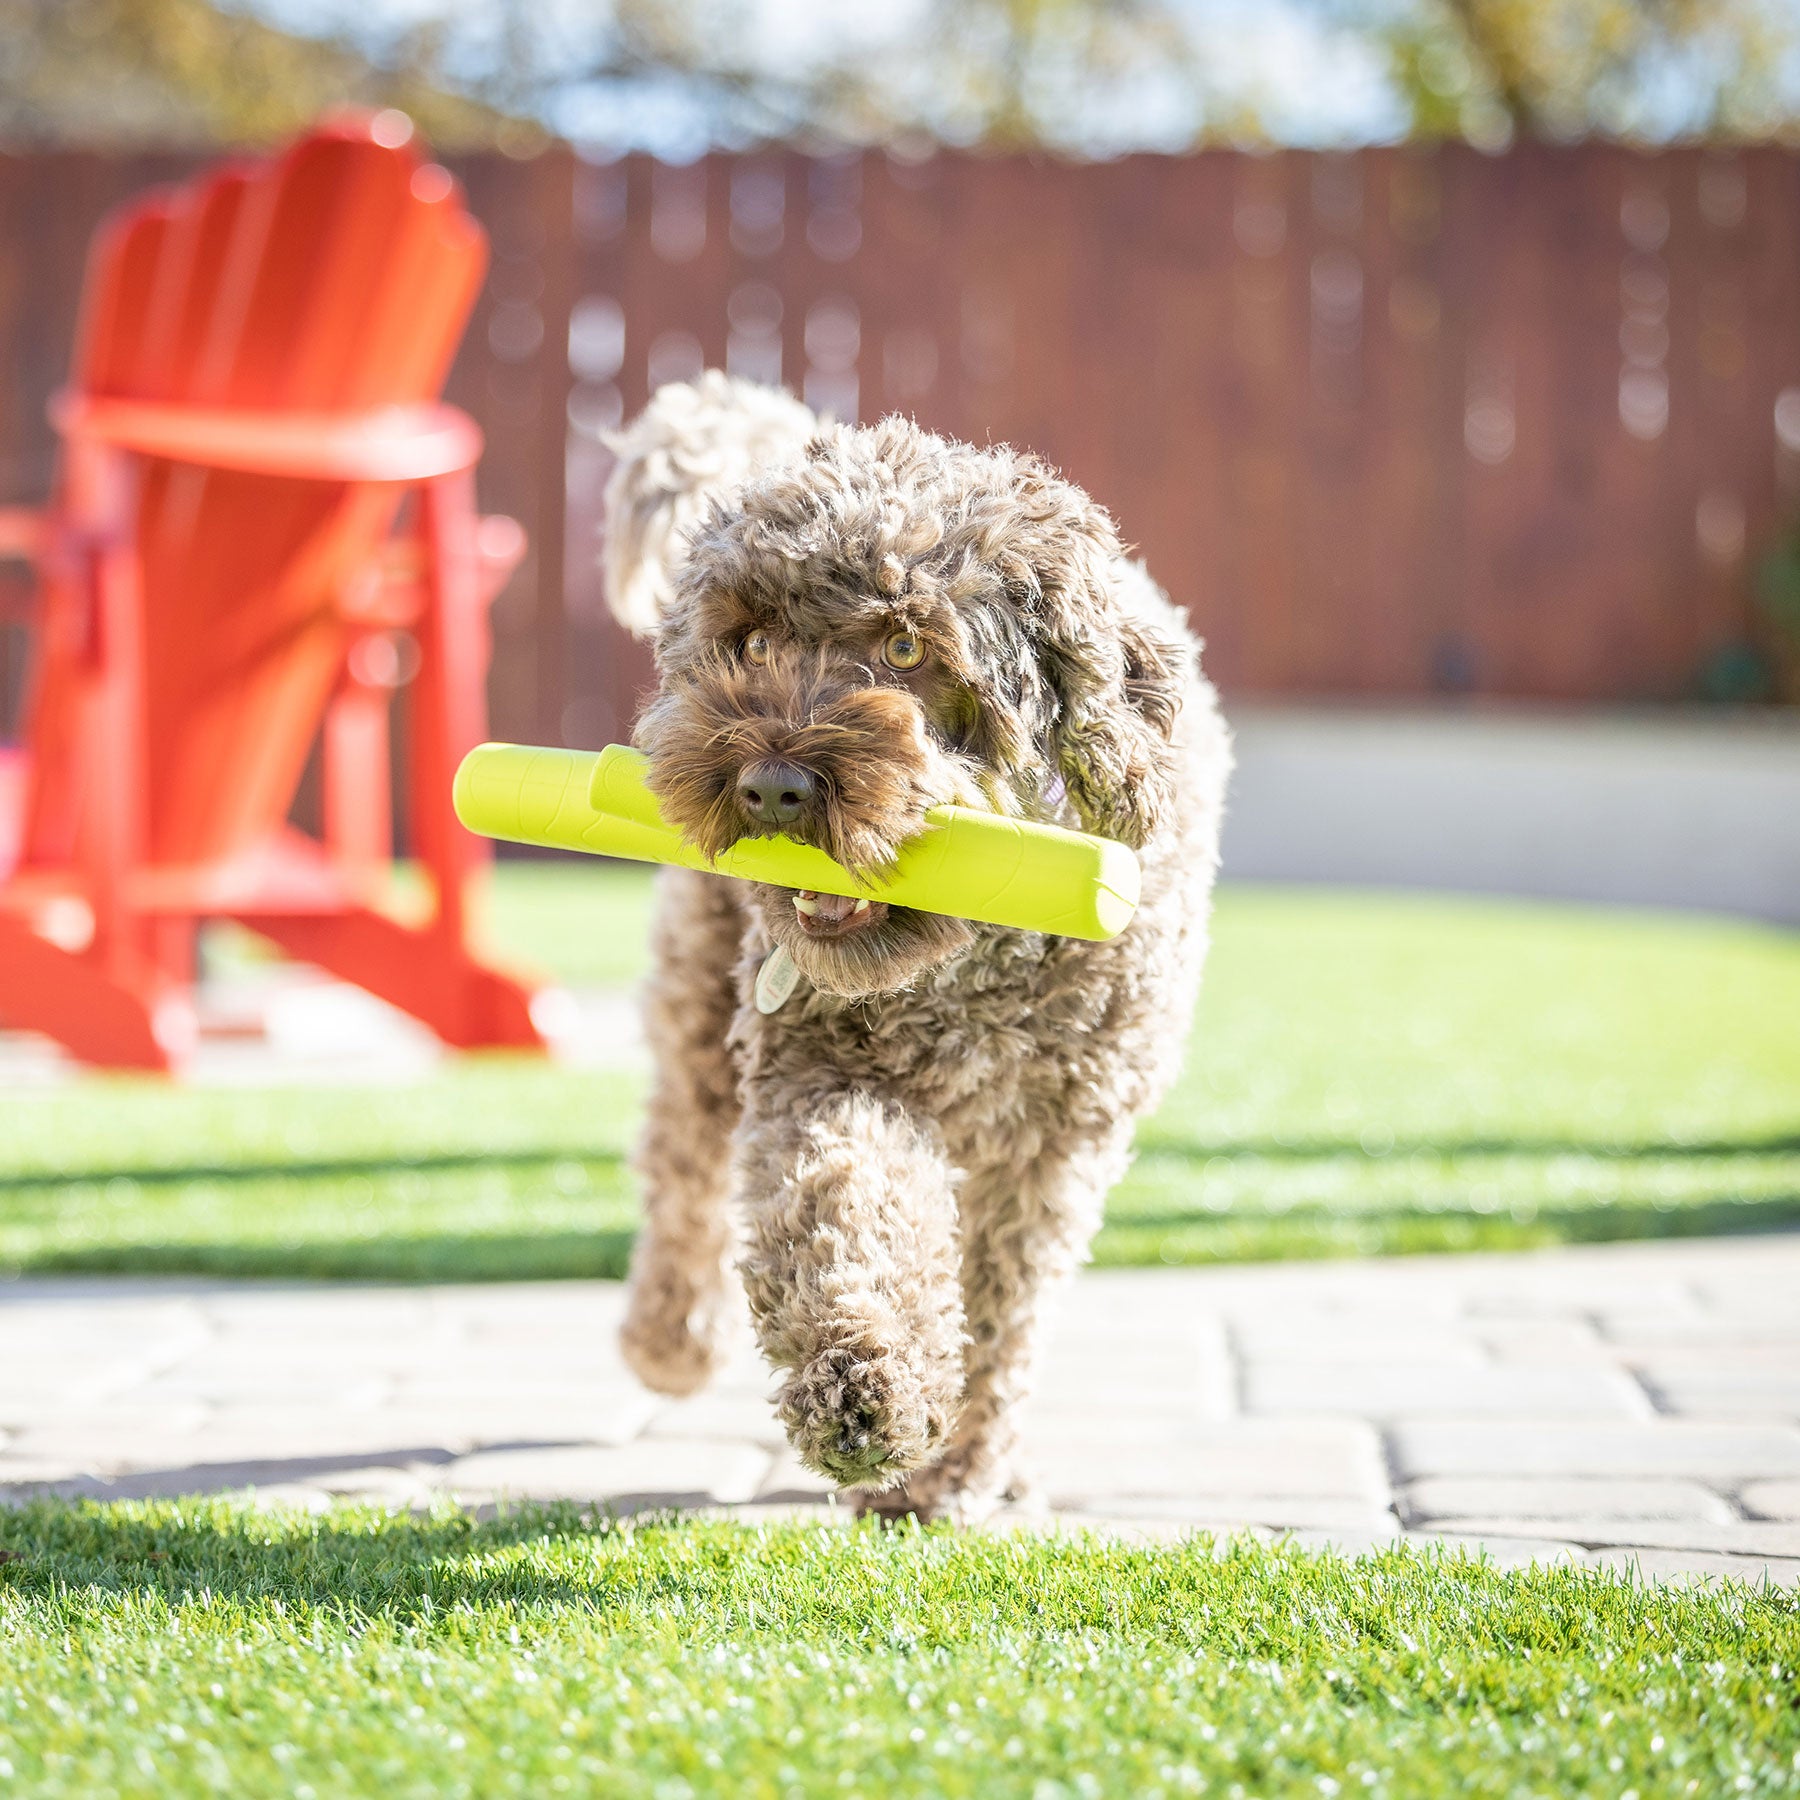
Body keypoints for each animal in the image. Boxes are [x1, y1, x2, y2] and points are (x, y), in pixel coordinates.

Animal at [597, 372, 1231, 1526]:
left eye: (905, 651)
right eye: (752, 644)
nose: (772, 788)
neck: (975, 962)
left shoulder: (1058, 1137)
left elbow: (1003, 1298)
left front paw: (953, 1467)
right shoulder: (820, 1063)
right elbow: (841, 1203)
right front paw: (868, 1385)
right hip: (705, 996)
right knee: (682, 1149)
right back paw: (669, 1337)